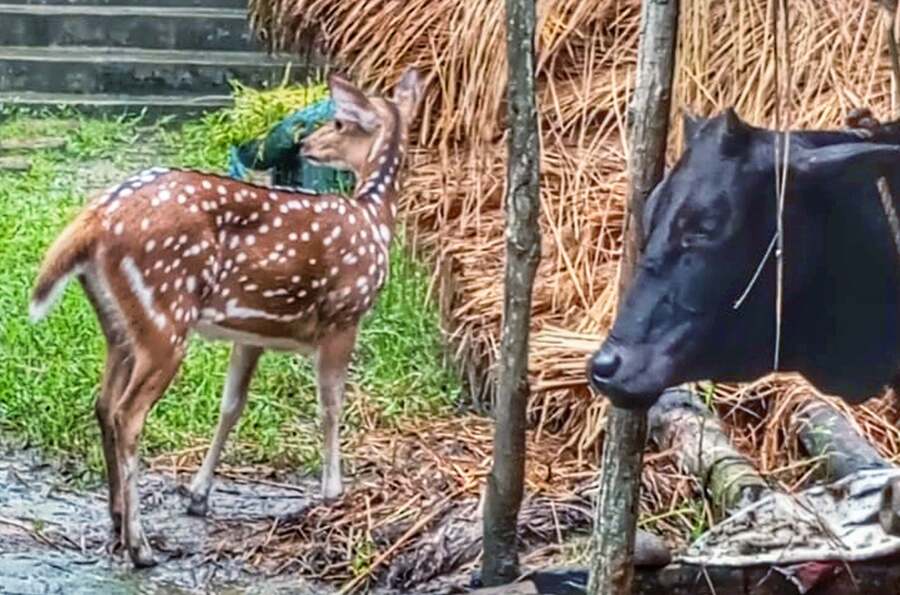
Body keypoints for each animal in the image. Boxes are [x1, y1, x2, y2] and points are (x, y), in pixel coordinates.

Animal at [28, 68, 424, 568]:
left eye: (337, 123)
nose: (305, 144)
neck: (375, 218)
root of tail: (93, 221)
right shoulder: (343, 316)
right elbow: (331, 405)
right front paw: (333, 490)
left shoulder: (249, 332)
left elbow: (231, 405)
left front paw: (199, 495)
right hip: (165, 317)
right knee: (127, 414)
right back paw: (141, 547)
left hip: (119, 326)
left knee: (103, 403)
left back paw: (118, 522)